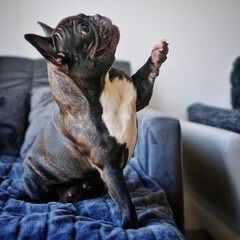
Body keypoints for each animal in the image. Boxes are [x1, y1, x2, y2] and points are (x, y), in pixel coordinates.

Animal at [19, 12, 169, 229]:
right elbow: (124, 199)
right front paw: (130, 225)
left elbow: (146, 73)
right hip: (33, 181)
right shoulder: (109, 166)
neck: (102, 86)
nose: (97, 16)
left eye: (86, 16)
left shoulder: (139, 93)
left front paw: (158, 52)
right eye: (84, 29)